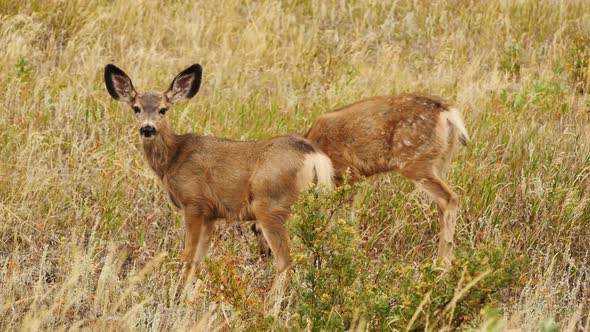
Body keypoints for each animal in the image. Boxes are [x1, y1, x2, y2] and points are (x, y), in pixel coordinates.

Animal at [104, 63, 336, 284]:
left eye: (163, 109)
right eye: (136, 108)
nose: (147, 129)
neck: (173, 158)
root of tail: (314, 156)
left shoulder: (194, 202)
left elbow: (188, 256)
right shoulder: (210, 214)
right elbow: (198, 259)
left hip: (272, 206)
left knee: (285, 262)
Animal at [252, 94, 470, 264]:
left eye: (257, 229)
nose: (264, 254)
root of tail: (449, 114)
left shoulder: (347, 173)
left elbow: (343, 217)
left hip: (415, 162)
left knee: (450, 198)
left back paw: (442, 264)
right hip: (440, 162)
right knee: (442, 204)